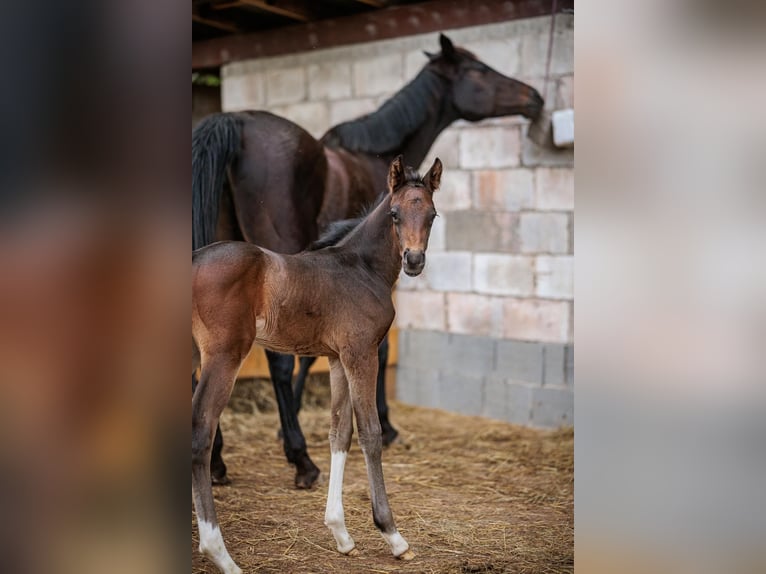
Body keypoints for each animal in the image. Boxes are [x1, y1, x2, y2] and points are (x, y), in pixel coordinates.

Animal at [192, 33, 544, 488]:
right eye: (478, 71)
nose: (535, 97)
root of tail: (233, 122)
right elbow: (371, 349)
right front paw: (380, 425)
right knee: (275, 360)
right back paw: (301, 460)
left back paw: (219, 460)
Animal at [192, 156, 441, 574]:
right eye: (394, 213)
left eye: (433, 215)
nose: (414, 260)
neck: (361, 266)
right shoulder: (361, 353)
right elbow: (370, 433)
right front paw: (393, 535)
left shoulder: (337, 358)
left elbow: (339, 433)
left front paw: (341, 534)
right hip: (223, 355)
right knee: (201, 432)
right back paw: (220, 554)